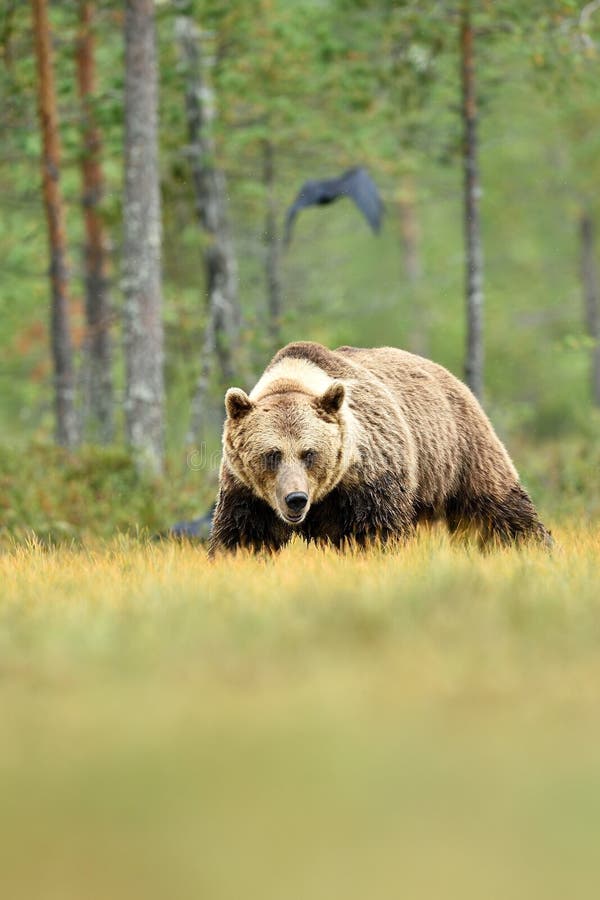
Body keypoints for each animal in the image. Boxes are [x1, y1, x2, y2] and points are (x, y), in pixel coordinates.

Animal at [208, 341, 551, 555]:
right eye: (272, 454)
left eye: (309, 453)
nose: (296, 499)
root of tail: (449, 376)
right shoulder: (246, 491)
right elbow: (243, 536)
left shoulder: (370, 474)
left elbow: (375, 532)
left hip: (459, 452)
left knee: (499, 509)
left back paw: (536, 549)